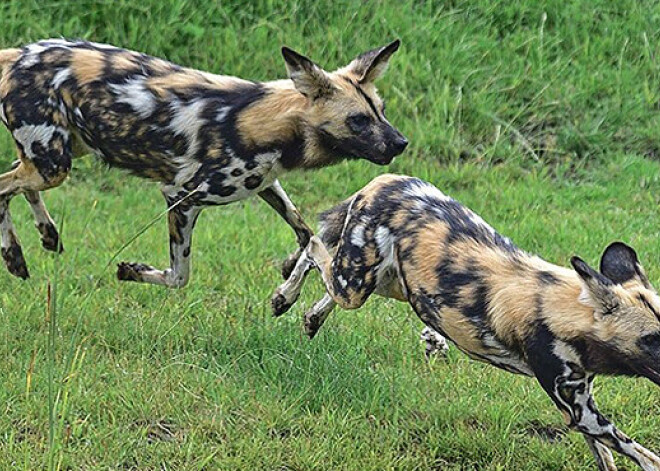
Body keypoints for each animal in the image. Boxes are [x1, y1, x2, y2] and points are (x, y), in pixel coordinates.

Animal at [0, 37, 404, 284]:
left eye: (382, 110)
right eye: (358, 120)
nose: (401, 143)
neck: (271, 123)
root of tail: (18, 53)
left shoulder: (267, 184)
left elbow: (306, 232)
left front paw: (291, 276)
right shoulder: (180, 197)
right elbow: (180, 276)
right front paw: (131, 271)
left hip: (60, 155)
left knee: (17, 180)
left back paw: (47, 236)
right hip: (54, 166)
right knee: (5, 188)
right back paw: (15, 256)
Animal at [272, 174, 660, 471]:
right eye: (651, 339)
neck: (564, 311)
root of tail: (387, 180)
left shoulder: (581, 406)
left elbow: (605, 455)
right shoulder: (581, 413)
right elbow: (642, 454)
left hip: (389, 284)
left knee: (325, 266)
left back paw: (311, 316)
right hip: (356, 285)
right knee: (313, 244)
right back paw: (284, 296)